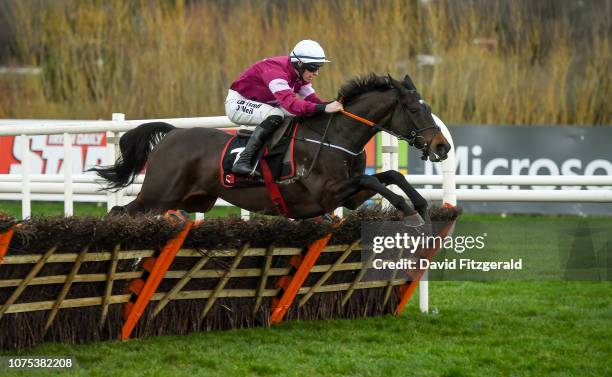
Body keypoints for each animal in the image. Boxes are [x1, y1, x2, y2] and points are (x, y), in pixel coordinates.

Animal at [93, 72, 452, 220]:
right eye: (414, 109)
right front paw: (408, 209)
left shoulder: (349, 196)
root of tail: (171, 135)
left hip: (191, 199)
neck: (336, 137)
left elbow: (390, 176)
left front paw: (421, 205)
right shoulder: (327, 192)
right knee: (119, 211)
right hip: (158, 195)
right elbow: (376, 180)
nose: (442, 146)